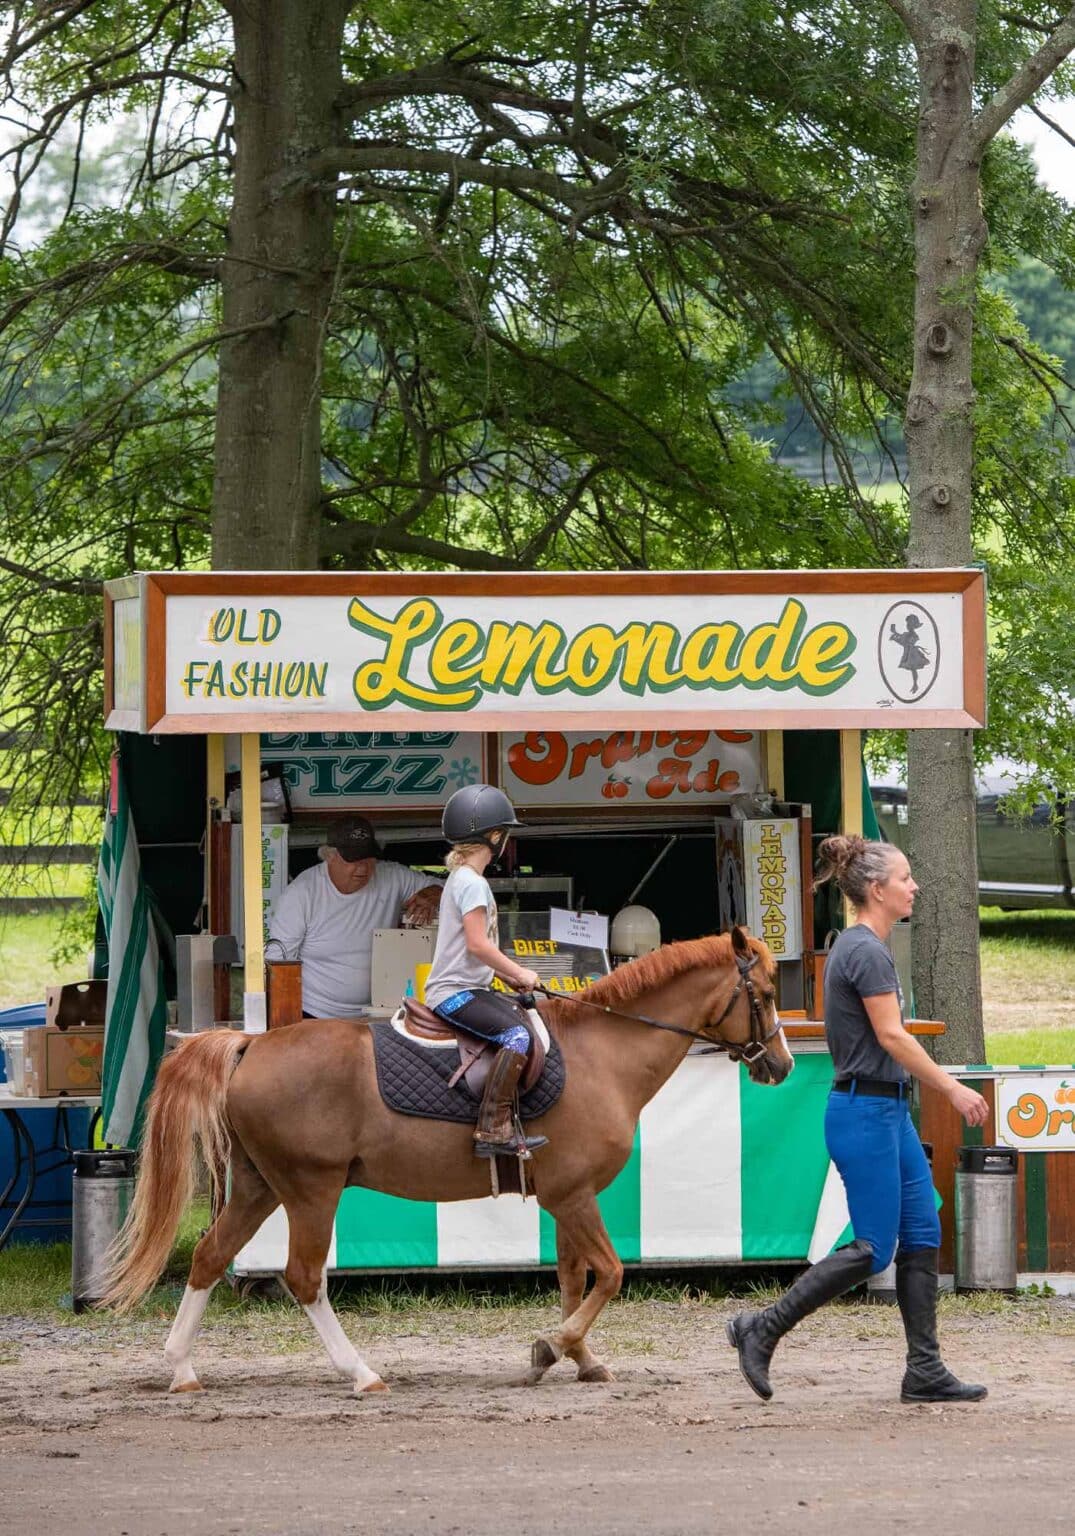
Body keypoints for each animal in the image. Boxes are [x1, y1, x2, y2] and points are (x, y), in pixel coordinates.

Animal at [102, 921, 792, 1394]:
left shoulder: (565, 1197)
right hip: (310, 1189)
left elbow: (574, 1278)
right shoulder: (572, 1195)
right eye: (761, 992)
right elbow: (613, 1273)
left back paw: (182, 1368)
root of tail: (252, 1044)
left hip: (258, 1186)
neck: (603, 1053)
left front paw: (581, 1360)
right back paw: (360, 1373)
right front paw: (552, 1348)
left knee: (211, 1256)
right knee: (303, 1277)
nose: (782, 1065)